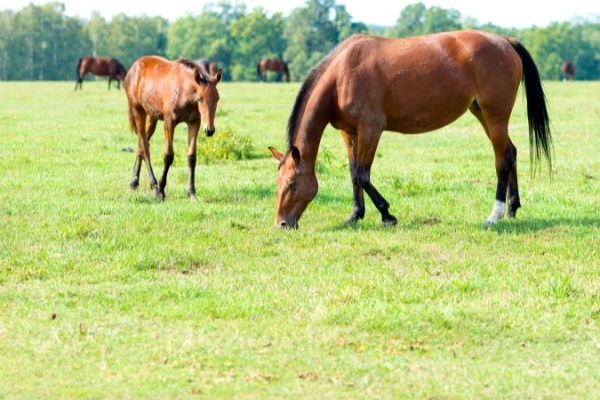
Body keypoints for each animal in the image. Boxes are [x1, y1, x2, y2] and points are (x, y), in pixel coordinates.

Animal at [124, 56, 223, 200]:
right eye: (200, 98)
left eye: (217, 99)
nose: (209, 130)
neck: (183, 89)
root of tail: (133, 68)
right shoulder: (169, 122)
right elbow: (168, 156)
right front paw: (161, 190)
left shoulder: (194, 123)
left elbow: (192, 157)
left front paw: (192, 192)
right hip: (138, 111)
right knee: (145, 146)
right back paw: (154, 186)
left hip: (152, 117)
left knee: (141, 144)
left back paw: (133, 182)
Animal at [270, 30, 552, 230]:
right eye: (278, 182)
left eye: (292, 183)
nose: (282, 223)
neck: (341, 76)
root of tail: (505, 40)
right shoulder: (349, 133)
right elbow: (353, 174)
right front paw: (355, 215)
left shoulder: (371, 129)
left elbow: (362, 174)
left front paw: (387, 214)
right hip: (482, 113)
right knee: (511, 152)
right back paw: (513, 208)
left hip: (495, 116)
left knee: (502, 159)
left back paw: (495, 215)